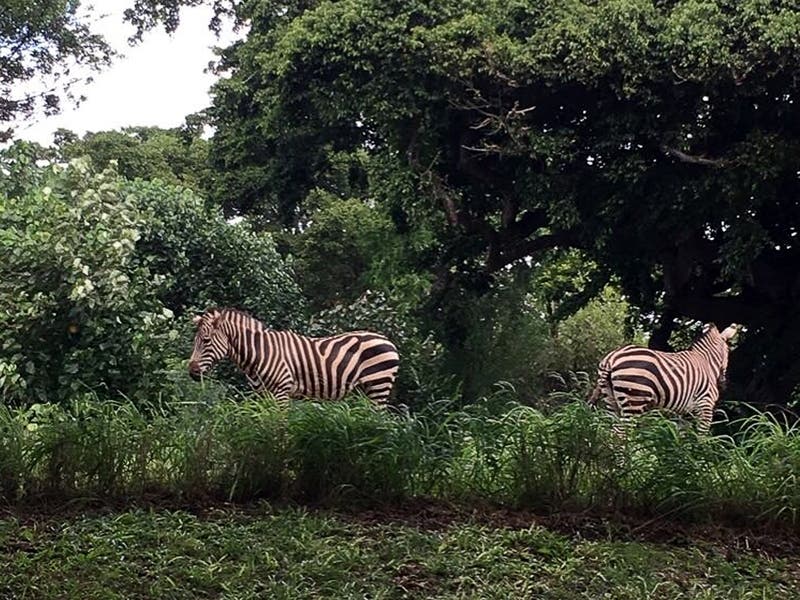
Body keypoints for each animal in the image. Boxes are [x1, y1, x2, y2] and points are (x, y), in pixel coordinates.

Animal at [188, 308, 400, 405]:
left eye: (206, 340)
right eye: (194, 341)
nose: (191, 372)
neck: (260, 353)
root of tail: (387, 340)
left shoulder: (281, 391)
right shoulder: (263, 395)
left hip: (378, 385)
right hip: (367, 390)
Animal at [589, 323, 740, 432]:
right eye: (728, 351)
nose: (723, 383)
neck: (705, 361)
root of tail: (612, 358)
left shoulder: (684, 414)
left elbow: (682, 440)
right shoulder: (706, 406)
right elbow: (701, 438)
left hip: (611, 400)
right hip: (634, 401)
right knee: (619, 433)